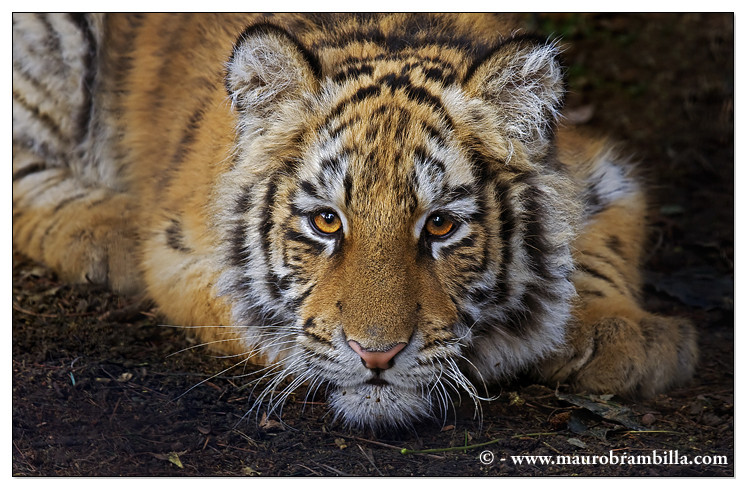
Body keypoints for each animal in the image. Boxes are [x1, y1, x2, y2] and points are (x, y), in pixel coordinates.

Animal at [13, 12, 696, 430]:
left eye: (441, 226)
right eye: (326, 222)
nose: (377, 356)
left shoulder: (600, 167)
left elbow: (598, 246)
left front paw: (627, 338)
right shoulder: (180, 255)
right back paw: (108, 232)